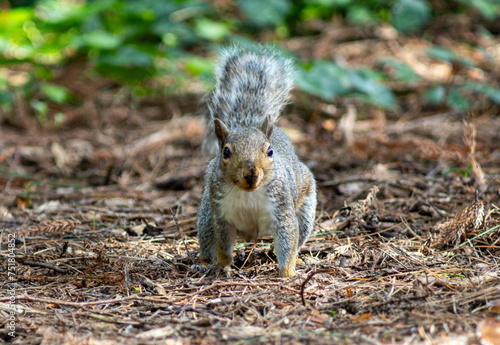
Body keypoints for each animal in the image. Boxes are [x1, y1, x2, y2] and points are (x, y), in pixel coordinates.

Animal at [196, 47, 316, 276]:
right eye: (226, 152)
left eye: (270, 151)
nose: (251, 173)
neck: (248, 193)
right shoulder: (221, 214)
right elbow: (223, 245)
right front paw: (222, 267)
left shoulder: (281, 208)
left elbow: (288, 239)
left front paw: (287, 274)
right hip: (207, 215)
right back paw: (205, 264)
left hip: (305, 207)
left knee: (298, 238)